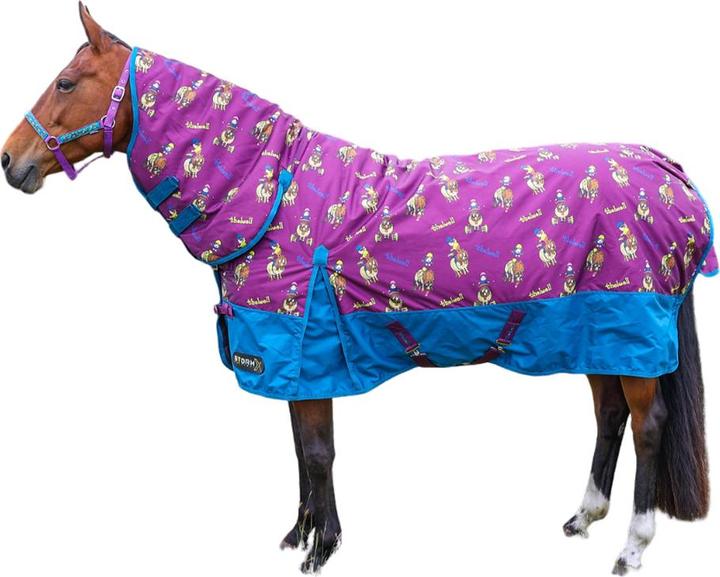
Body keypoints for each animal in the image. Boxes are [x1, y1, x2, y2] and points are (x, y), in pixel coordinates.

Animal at [1, 4, 715, 575]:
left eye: (66, 83)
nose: (10, 161)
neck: (273, 193)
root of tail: (670, 175)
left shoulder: (306, 349)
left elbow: (318, 452)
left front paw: (323, 549)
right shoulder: (294, 362)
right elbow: (300, 452)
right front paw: (301, 534)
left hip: (631, 333)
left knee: (648, 425)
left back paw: (631, 545)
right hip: (599, 333)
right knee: (609, 414)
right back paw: (583, 515)